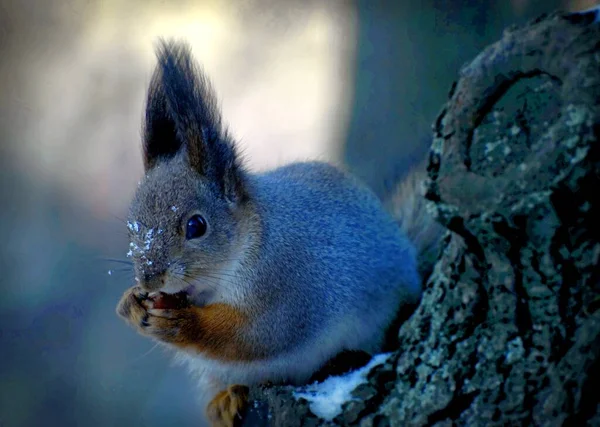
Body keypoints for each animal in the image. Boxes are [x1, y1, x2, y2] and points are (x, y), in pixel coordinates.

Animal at [115, 40, 442, 427]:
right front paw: (130, 303)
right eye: (132, 225)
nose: (149, 279)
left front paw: (183, 323)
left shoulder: (289, 283)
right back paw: (226, 399)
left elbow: (257, 336)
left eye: (197, 226)